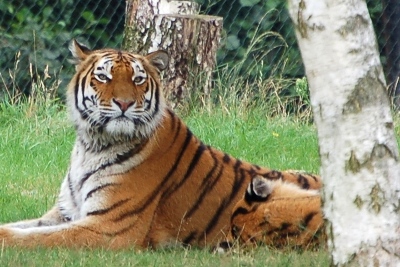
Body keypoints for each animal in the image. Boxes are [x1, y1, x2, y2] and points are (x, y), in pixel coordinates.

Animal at [0, 40, 324, 251]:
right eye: (103, 76)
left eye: (137, 79)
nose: (124, 103)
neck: (92, 145)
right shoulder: (63, 214)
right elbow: (24, 226)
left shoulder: (110, 227)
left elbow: (40, 239)